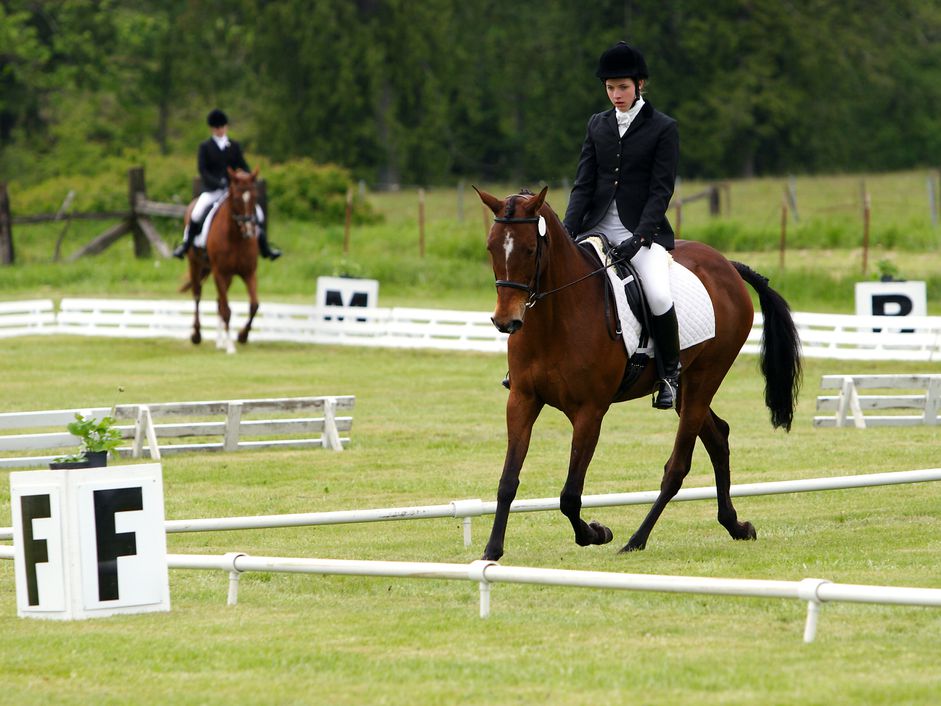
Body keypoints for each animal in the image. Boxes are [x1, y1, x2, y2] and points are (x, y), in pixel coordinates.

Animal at [183, 168, 258, 354]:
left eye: (255, 196)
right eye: (236, 198)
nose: (248, 230)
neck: (236, 237)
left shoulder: (249, 273)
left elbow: (254, 305)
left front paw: (242, 336)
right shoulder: (220, 273)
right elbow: (227, 311)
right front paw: (231, 347)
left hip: (228, 276)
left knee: (218, 301)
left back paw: (220, 342)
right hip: (195, 264)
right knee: (197, 294)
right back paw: (197, 335)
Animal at [478, 184, 800, 560]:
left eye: (530, 249)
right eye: (491, 247)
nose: (506, 321)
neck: (554, 319)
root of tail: (727, 267)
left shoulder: (590, 412)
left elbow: (570, 495)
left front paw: (596, 533)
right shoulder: (522, 400)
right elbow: (507, 481)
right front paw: (491, 551)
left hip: (705, 378)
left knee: (677, 467)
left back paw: (636, 539)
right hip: (686, 388)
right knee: (718, 437)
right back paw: (735, 525)